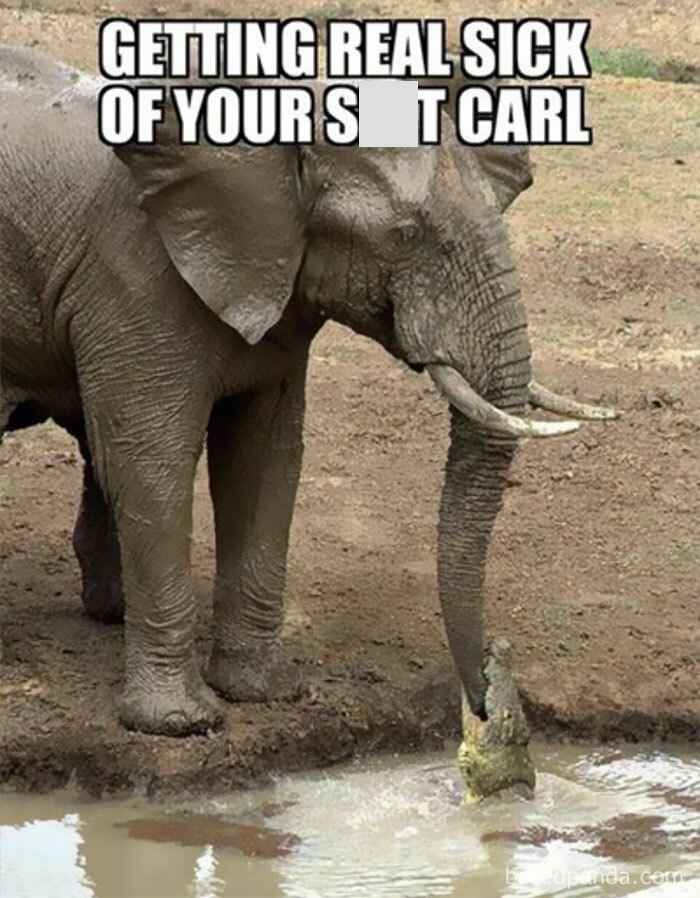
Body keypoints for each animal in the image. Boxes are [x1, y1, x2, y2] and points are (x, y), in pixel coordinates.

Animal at [0, 47, 616, 738]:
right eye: (405, 235)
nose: (483, 704)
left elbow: (265, 461)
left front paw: (263, 692)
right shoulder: (133, 274)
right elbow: (151, 463)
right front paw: (181, 723)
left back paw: (109, 612)